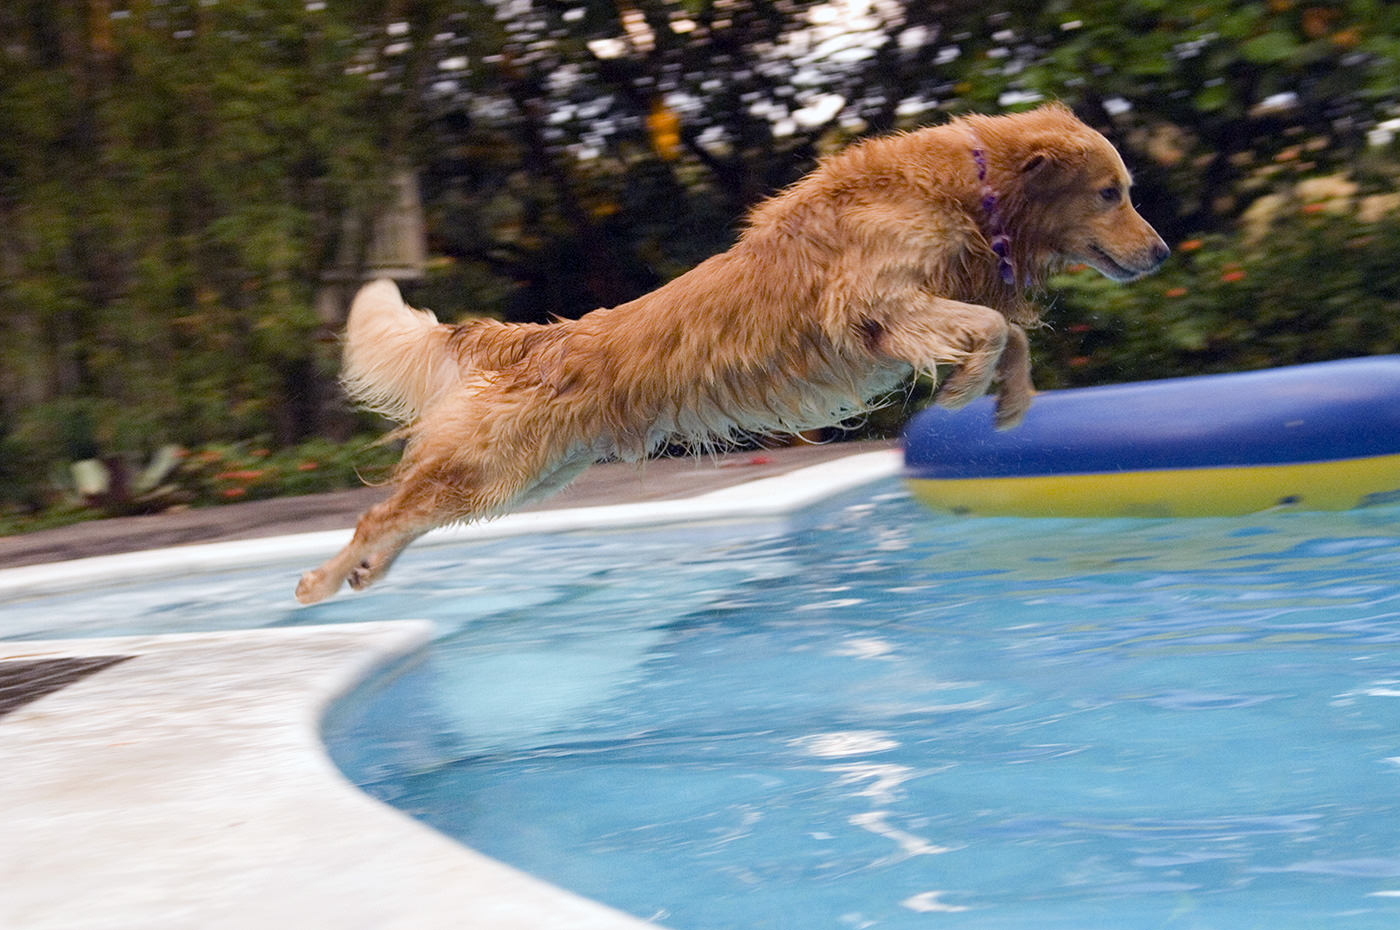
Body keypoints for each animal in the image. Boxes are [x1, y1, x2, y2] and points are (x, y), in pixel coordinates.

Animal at [295, 103, 1170, 602]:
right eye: (1111, 193)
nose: (1162, 251)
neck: (973, 187)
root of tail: (544, 334)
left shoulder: (911, 311)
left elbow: (1007, 329)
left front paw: (1011, 400)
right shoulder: (876, 307)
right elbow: (990, 326)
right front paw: (963, 391)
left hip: (532, 475)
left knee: (409, 515)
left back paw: (365, 573)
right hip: (493, 467)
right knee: (382, 511)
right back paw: (322, 579)